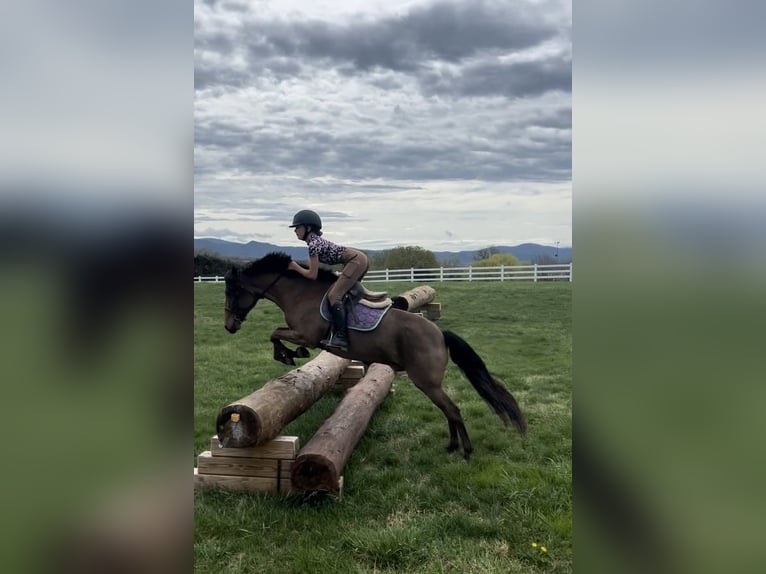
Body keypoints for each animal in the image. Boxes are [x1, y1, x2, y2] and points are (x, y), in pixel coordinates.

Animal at [223, 252, 526, 459]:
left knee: (452, 409)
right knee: (447, 410)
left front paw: (289, 354)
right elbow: (275, 333)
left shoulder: (306, 334)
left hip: (425, 381)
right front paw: (289, 354)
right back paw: (452, 446)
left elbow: (275, 333)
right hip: (429, 383)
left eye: (234, 292)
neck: (299, 293)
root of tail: (439, 334)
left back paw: (465, 450)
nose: (229, 326)